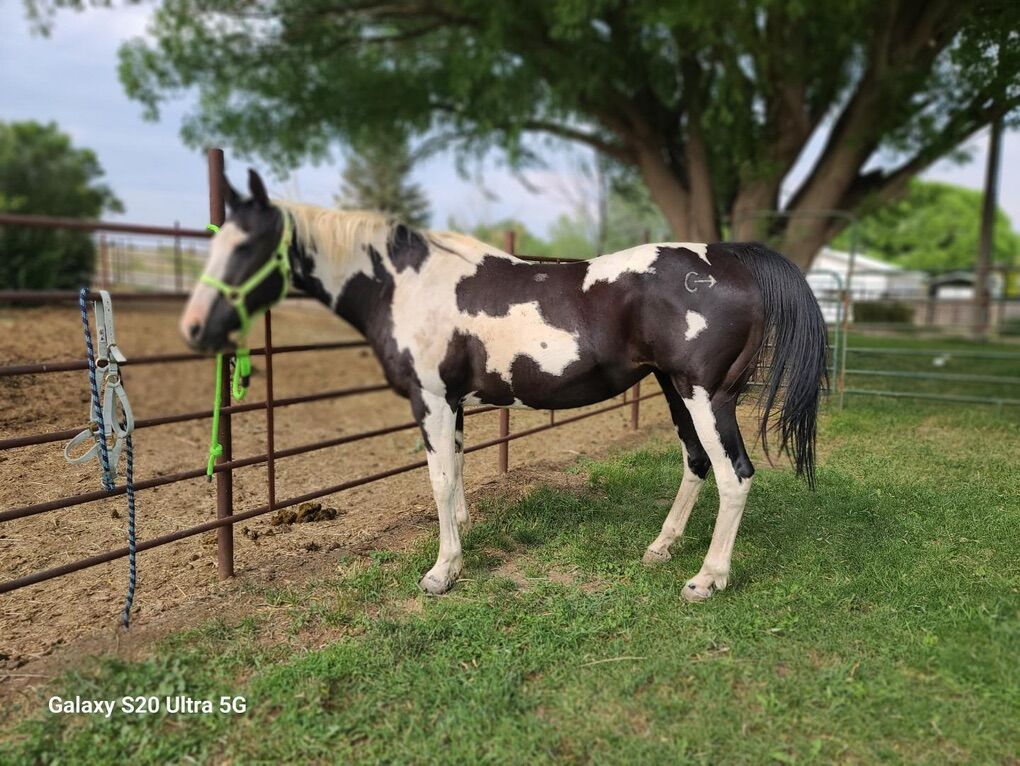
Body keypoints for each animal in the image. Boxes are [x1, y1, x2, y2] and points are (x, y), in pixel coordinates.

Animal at [181, 170, 828, 602]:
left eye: (248, 245)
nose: (194, 329)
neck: (408, 284)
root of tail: (731, 258)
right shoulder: (454, 405)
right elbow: (457, 473)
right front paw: (460, 539)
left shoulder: (431, 401)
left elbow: (439, 481)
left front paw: (442, 572)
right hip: (675, 390)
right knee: (696, 464)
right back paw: (661, 548)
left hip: (704, 396)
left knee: (734, 475)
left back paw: (707, 578)